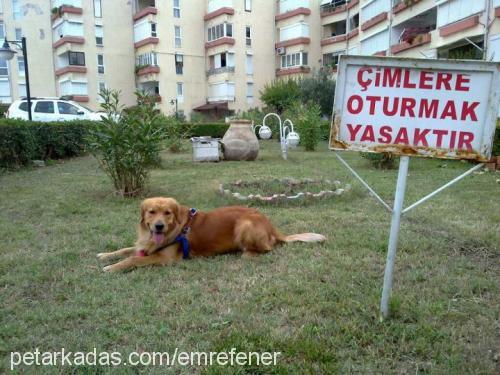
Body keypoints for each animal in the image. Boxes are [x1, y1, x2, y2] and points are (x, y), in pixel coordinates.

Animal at [97, 197, 326, 274]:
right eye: (151, 212)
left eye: (167, 213)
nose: (159, 226)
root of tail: (271, 225)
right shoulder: (145, 244)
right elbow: (126, 249)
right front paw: (105, 255)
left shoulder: (164, 258)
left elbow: (133, 259)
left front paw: (112, 267)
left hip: (244, 225)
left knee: (267, 248)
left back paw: (247, 254)